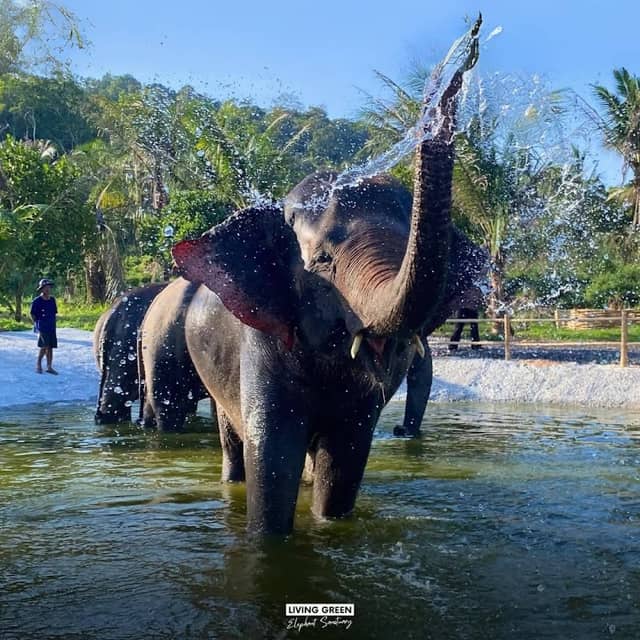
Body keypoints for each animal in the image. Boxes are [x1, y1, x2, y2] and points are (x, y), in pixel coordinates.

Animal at [160, 27, 480, 534]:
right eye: (324, 261)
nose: (466, 50)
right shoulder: (263, 340)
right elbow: (272, 462)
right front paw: (268, 537)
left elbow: (343, 462)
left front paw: (329, 524)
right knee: (232, 442)